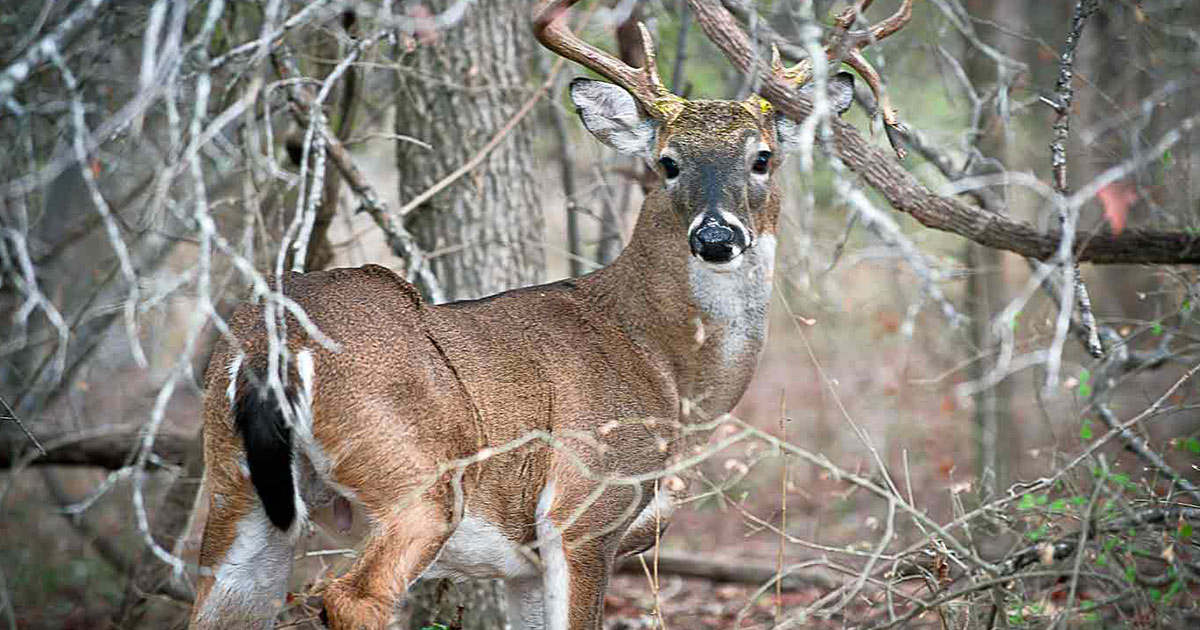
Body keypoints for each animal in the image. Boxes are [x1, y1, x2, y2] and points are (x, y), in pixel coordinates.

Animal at [187, 2, 907, 624]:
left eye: (762, 158)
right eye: (667, 162)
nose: (715, 237)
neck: (665, 368)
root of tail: (270, 346)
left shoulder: (524, 566)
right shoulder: (584, 511)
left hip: (236, 494)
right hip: (416, 478)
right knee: (353, 597)